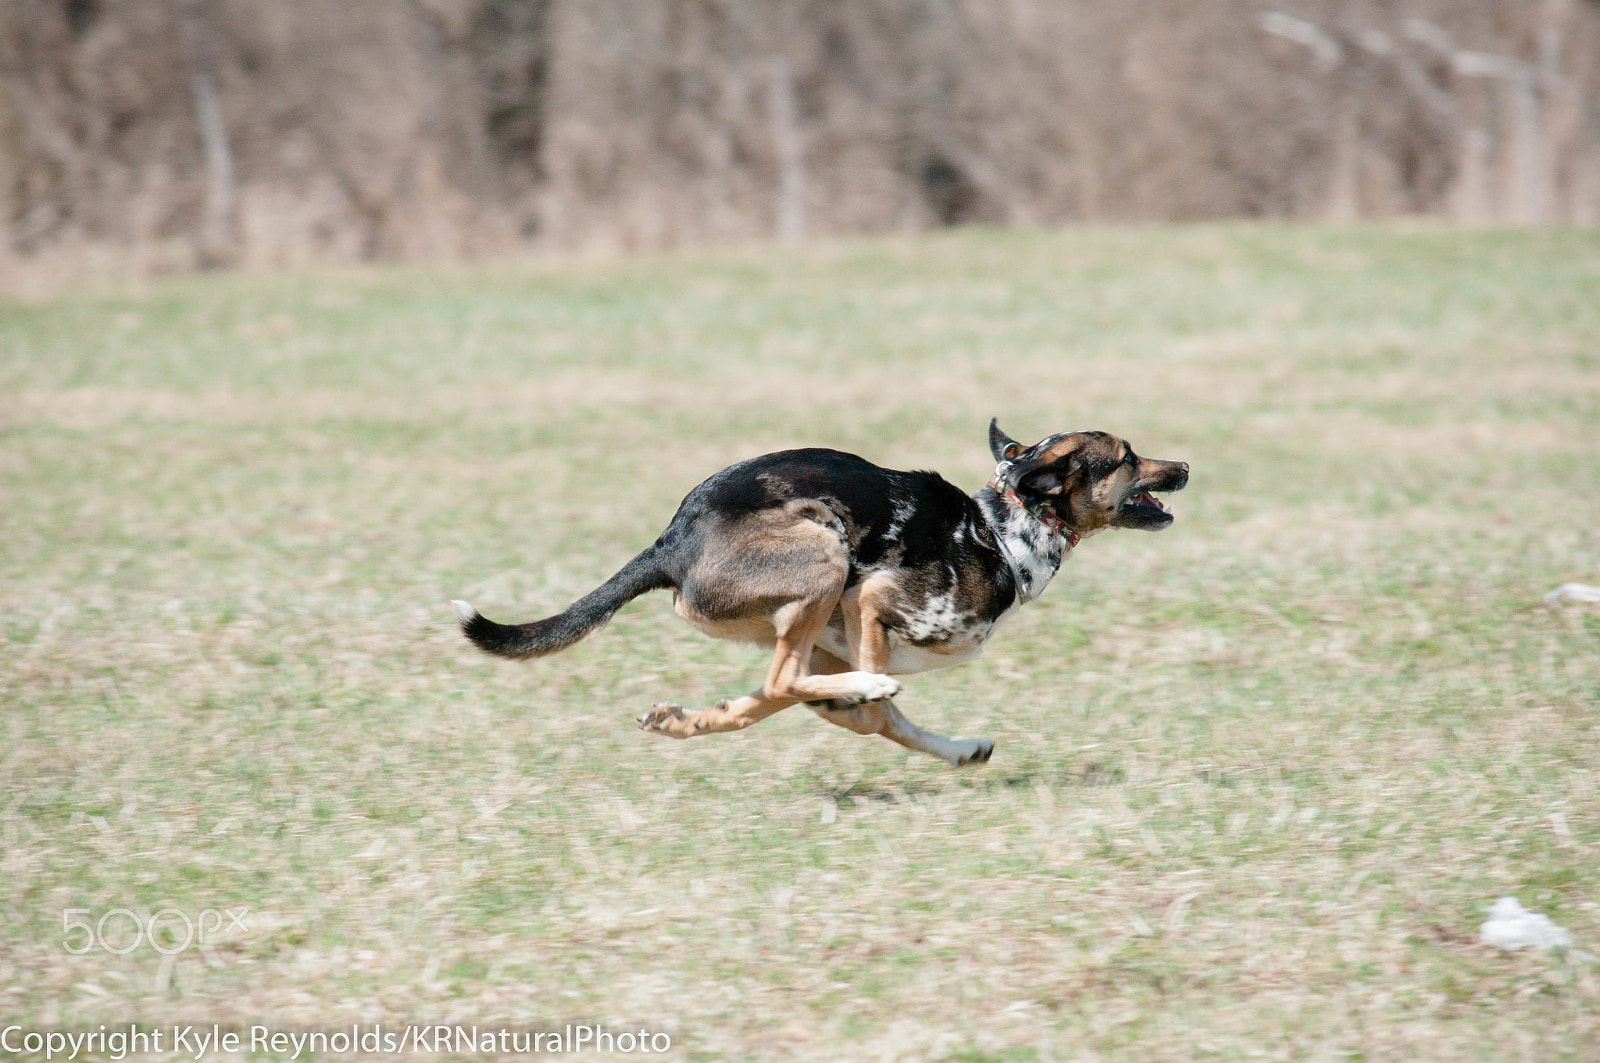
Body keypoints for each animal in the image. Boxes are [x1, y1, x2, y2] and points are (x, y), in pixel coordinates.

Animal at [454, 419, 1190, 768]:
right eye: (1126, 456)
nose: (1184, 464)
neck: (1002, 526)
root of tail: (672, 540)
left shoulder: (839, 641)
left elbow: (845, 714)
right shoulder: (872, 600)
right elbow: (873, 709)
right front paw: (873, 697)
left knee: (775, 689)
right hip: (826, 552)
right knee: (790, 681)